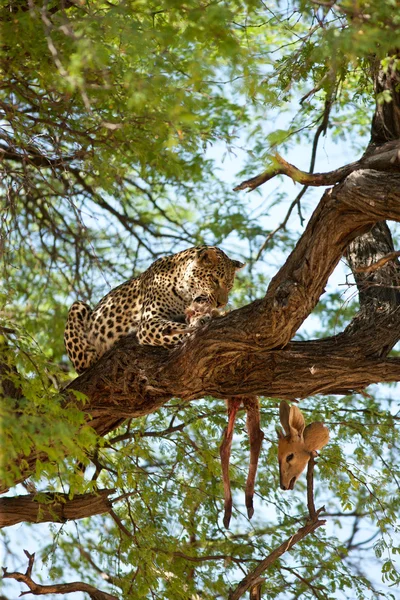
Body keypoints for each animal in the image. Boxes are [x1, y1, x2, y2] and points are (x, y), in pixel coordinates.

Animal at [64, 246, 244, 372]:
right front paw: (198, 325)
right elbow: (175, 329)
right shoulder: (148, 322)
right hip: (78, 306)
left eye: (229, 286)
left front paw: (203, 318)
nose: (221, 303)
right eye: (214, 280)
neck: (184, 293)